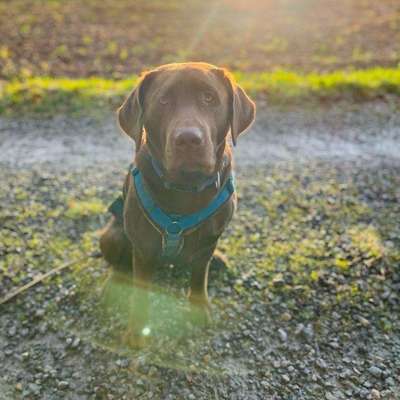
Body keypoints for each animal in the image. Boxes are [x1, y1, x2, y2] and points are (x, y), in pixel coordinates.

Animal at [100, 62, 256, 344]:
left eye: (209, 98)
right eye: (163, 101)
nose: (188, 139)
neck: (185, 189)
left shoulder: (210, 239)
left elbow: (199, 275)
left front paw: (199, 307)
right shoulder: (143, 246)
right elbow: (140, 291)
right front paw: (137, 330)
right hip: (111, 236)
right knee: (120, 263)